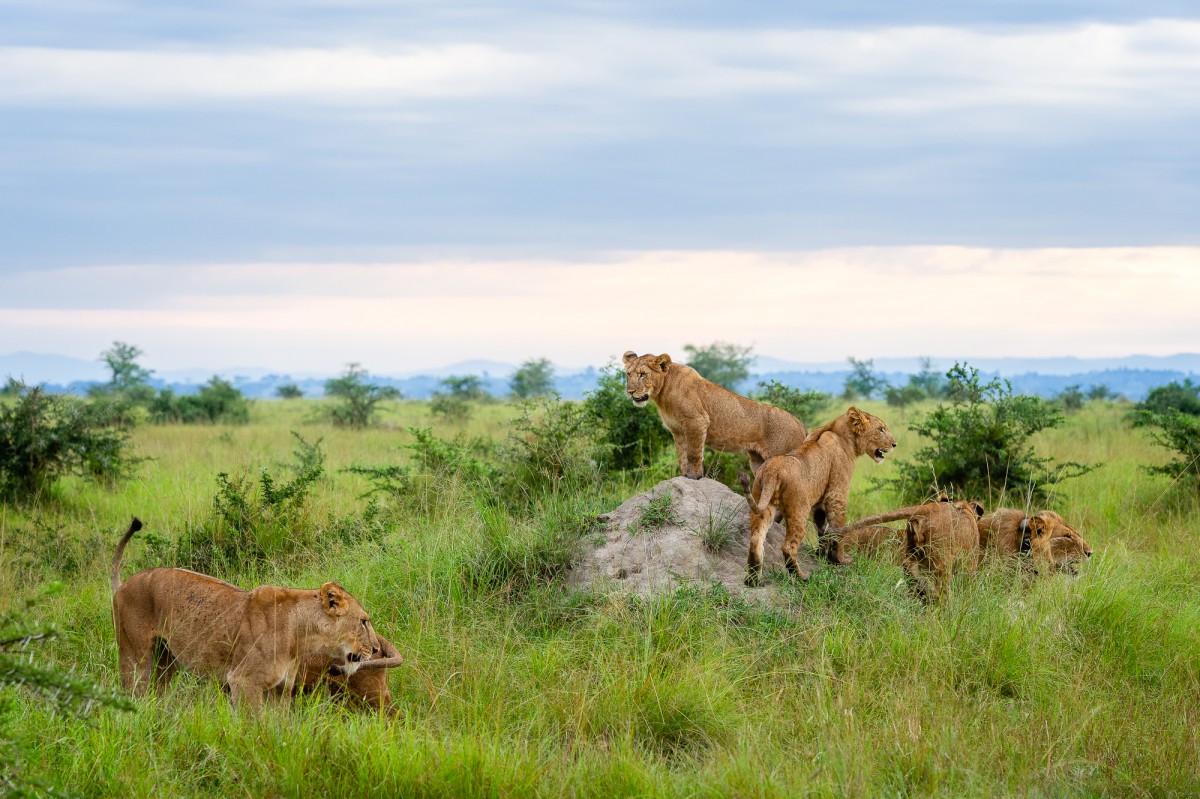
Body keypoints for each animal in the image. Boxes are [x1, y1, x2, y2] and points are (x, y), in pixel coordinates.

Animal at [111, 515, 386, 710]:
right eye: (363, 622)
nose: (375, 649)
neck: (301, 636)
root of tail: (123, 584)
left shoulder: (280, 689)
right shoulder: (244, 682)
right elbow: (254, 727)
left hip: (166, 659)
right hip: (135, 657)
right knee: (133, 691)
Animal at [624, 350, 811, 475]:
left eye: (642, 374)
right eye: (628, 374)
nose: (630, 392)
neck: (662, 393)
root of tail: (802, 426)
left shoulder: (697, 421)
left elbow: (693, 454)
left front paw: (694, 477)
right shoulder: (677, 431)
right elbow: (682, 456)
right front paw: (684, 476)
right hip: (757, 462)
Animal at [734, 405, 897, 585]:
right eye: (881, 429)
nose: (895, 444)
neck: (840, 432)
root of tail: (772, 470)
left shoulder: (819, 502)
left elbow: (822, 529)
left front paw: (822, 555)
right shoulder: (837, 494)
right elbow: (837, 529)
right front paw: (840, 559)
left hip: (762, 504)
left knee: (756, 539)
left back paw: (753, 580)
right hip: (798, 510)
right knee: (788, 546)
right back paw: (801, 576)